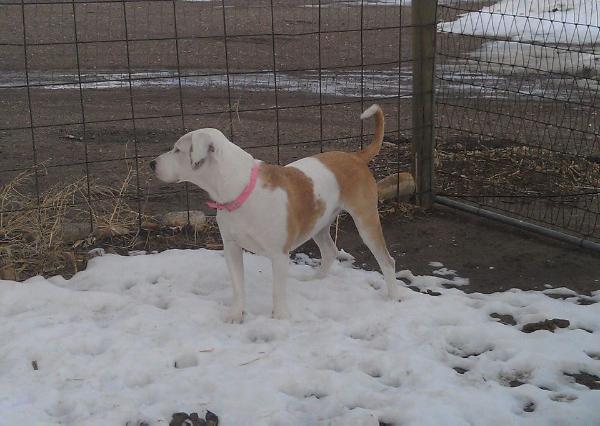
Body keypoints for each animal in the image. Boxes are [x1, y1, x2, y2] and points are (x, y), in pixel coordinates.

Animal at [152, 105, 410, 322]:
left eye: (177, 149)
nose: (151, 164)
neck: (242, 188)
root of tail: (355, 157)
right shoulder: (231, 248)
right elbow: (237, 286)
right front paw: (236, 314)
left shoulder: (278, 254)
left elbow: (277, 291)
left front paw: (280, 318)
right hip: (319, 222)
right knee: (329, 251)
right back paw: (315, 281)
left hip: (366, 220)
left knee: (386, 260)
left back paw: (393, 296)